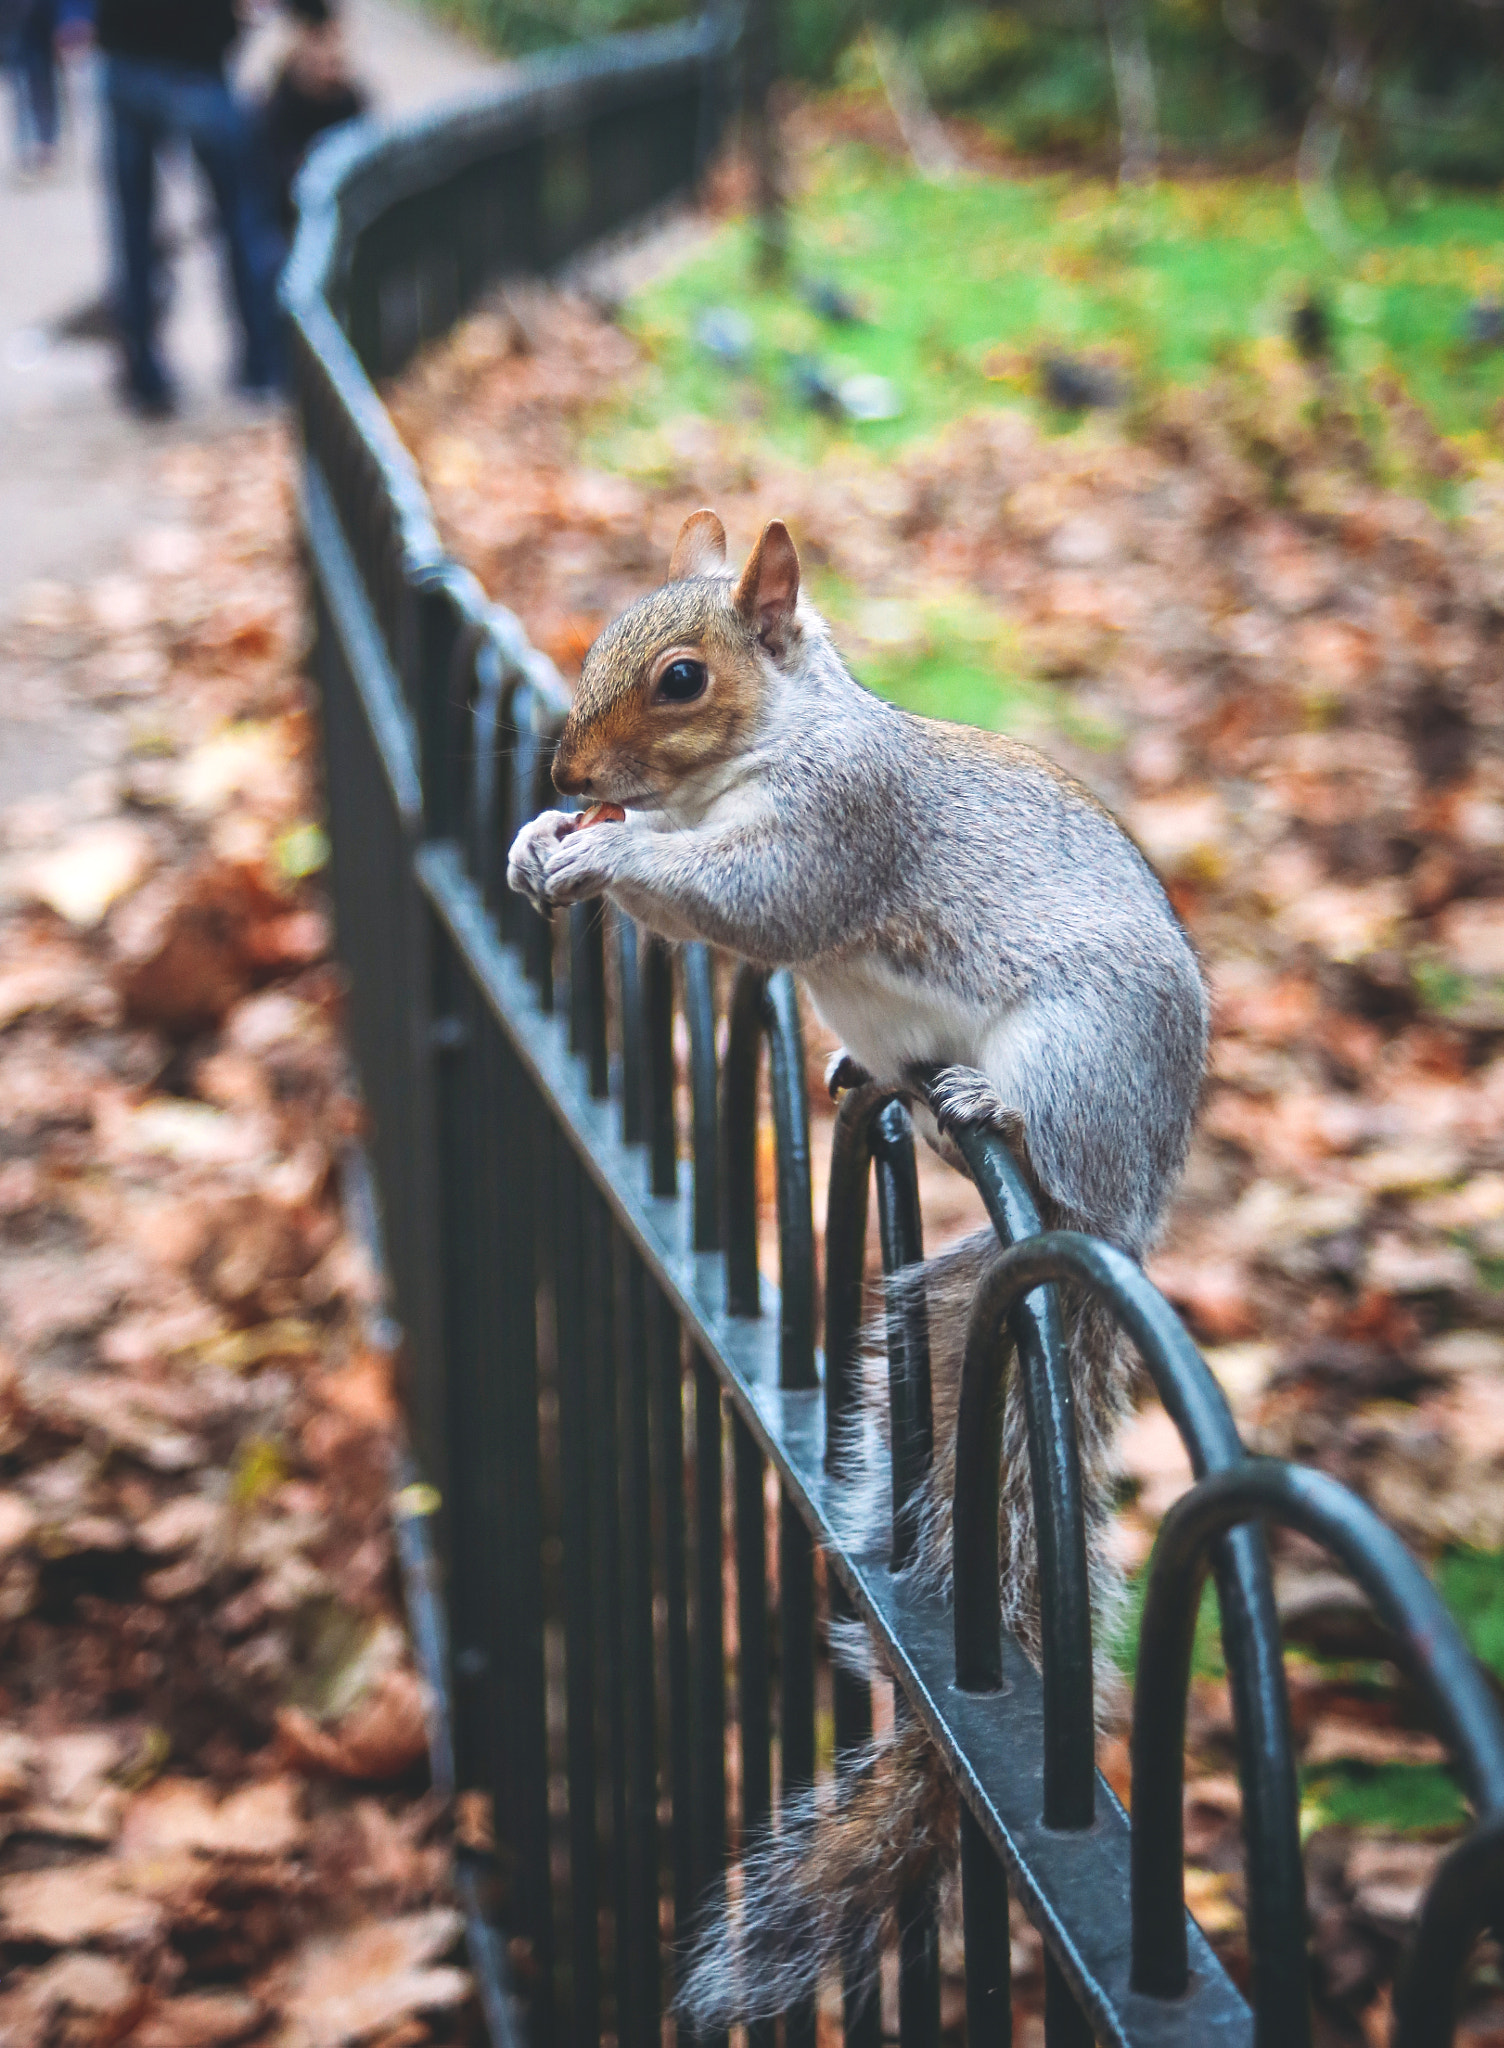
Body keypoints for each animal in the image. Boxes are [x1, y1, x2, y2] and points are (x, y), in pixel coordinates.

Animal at [506, 507, 1213, 2015]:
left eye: (682, 681)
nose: (565, 777)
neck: (763, 751)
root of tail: (1127, 1217)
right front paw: (550, 837)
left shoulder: (837, 828)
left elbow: (752, 901)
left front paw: (602, 860)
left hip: (1082, 1054)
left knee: (1050, 1139)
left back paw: (994, 1112)